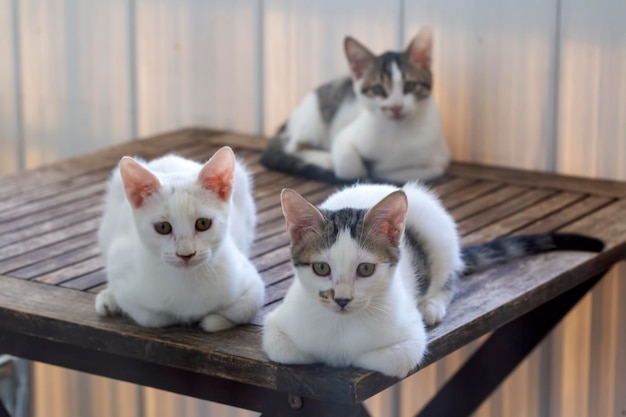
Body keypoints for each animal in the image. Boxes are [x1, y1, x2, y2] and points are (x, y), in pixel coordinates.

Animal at [95, 146, 264, 332]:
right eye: (163, 227)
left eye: (203, 223)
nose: (186, 254)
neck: (188, 282)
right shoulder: (121, 267)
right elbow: (153, 317)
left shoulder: (251, 280)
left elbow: (247, 308)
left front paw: (212, 320)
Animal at [260, 26, 448, 182]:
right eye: (378, 89)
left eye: (410, 86)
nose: (396, 107)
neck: (398, 132)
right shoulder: (345, 137)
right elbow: (349, 166)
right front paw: (354, 167)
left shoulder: (441, 157)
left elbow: (420, 172)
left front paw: (379, 170)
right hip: (312, 117)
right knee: (292, 147)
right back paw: (325, 159)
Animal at [262, 182, 600, 376]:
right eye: (321, 268)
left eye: (366, 269)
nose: (342, 299)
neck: (342, 326)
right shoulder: (276, 325)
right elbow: (283, 349)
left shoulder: (411, 339)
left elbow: (394, 358)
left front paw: (344, 358)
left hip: (438, 227)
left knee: (450, 275)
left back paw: (433, 303)